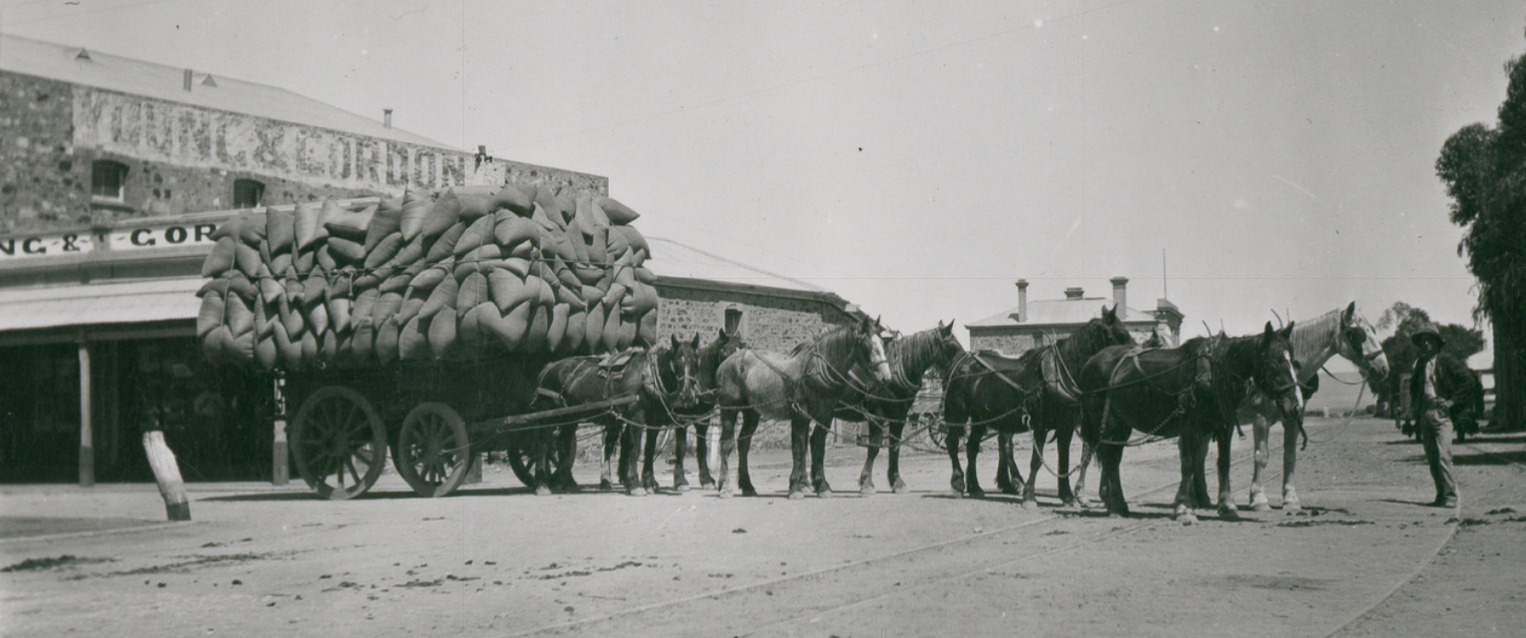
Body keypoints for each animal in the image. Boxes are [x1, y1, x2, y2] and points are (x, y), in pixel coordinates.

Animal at [531, 335, 701, 494]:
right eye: (677, 362)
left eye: (695, 362)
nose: (687, 395)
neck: (647, 376)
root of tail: (548, 368)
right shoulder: (636, 416)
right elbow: (634, 448)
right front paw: (635, 485)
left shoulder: (654, 421)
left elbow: (649, 450)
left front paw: (648, 483)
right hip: (548, 415)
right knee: (543, 444)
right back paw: (542, 484)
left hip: (570, 417)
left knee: (564, 444)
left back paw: (567, 482)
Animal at [714, 315, 891, 500]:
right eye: (867, 345)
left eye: (883, 343)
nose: (886, 377)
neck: (817, 370)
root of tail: (725, 364)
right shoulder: (801, 415)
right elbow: (798, 449)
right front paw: (796, 488)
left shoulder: (825, 416)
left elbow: (818, 446)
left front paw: (822, 486)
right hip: (729, 409)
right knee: (726, 444)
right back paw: (725, 488)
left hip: (751, 413)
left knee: (743, 444)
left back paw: (747, 486)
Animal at [836, 322, 964, 494]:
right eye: (953, 346)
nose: (964, 368)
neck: (893, 372)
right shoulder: (877, 415)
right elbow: (874, 447)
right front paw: (867, 483)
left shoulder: (899, 416)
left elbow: (895, 446)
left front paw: (897, 482)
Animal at [940, 306, 1135, 506]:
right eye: (1120, 334)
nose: (1135, 357)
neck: (1057, 376)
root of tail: (960, 362)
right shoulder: (1040, 425)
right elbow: (1036, 461)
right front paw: (1029, 496)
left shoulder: (1066, 427)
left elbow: (1063, 459)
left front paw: (1067, 495)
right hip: (957, 413)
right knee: (952, 443)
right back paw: (958, 484)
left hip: (980, 418)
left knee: (972, 447)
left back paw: (976, 488)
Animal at [1080, 322, 1306, 522]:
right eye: (1274, 363)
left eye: (1294, 363)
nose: (1295, 406)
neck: (1213, 372)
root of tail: (1090, 362)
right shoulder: (1188, 427)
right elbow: (1188, 463)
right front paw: (1184, 508)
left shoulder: (1224, 426)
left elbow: (1223, 462)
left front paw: (1227, 506)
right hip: (1110, 424)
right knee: (1109, 458)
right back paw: (1116, 506)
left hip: (1122, 425)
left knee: (1113, 459)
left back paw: (1118, 505)